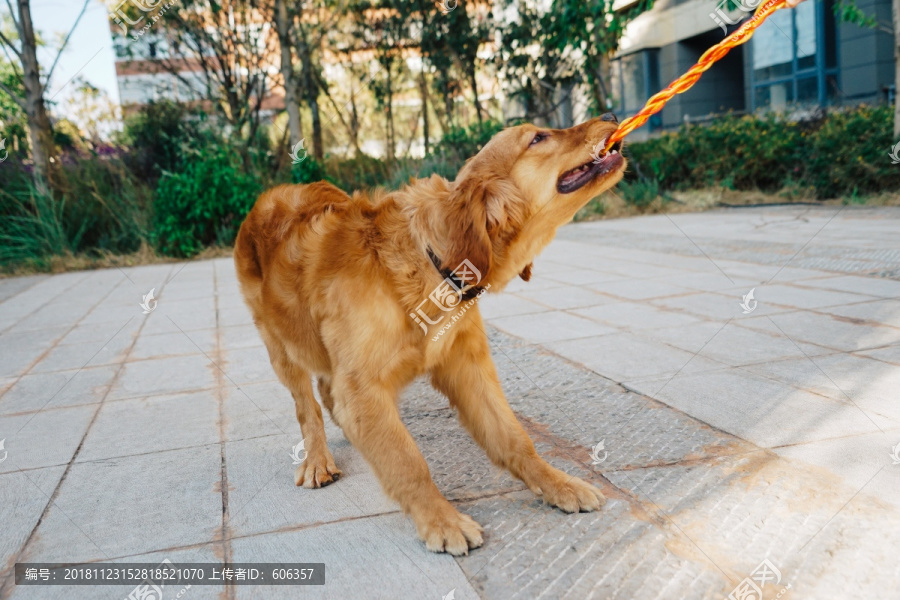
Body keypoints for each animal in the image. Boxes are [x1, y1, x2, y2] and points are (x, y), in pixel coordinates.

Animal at [234, 115, 624, 556]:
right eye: (538, 138)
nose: (611, 117)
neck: (430, 260)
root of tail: (270, 194)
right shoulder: (362, 386)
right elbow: (408, 462)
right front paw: (442, 519)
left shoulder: (467, 367)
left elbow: (513, 437)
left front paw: (558, 484)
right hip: (282, 347)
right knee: (307, 405)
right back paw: (318, 459)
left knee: (327, 390)